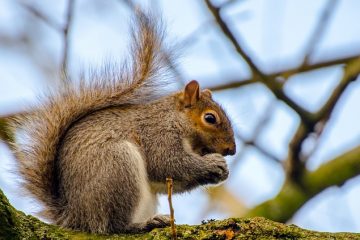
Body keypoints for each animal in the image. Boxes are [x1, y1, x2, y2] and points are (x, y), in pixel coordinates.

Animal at [9, 12, 236, 233]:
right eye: (210, 118)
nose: (231, 150)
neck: (175, 120)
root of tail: (75, 216)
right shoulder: (157, 134)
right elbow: (168, 163)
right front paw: (213, 164)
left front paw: (221, 171)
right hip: (117, 167)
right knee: (113, 225)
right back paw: (143, 224)